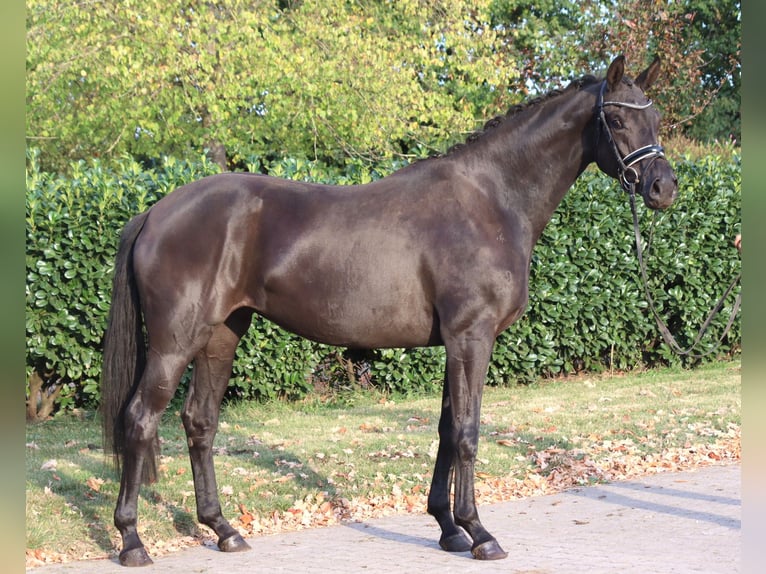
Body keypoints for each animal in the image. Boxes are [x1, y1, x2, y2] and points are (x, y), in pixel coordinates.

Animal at [101, 55, 677, 566]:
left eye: (655, 119)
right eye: (617, 119)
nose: (663, 187)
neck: (491, 199)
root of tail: (155, 213)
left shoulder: (456, 343)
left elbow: (447, 430)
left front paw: (448, 529)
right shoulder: (473, 337)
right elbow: (468, 433)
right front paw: (480, 533)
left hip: (221, 335)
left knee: (199, 421)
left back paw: (223, 530)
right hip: (176, 342)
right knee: (140, 420)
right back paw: (132, 541)